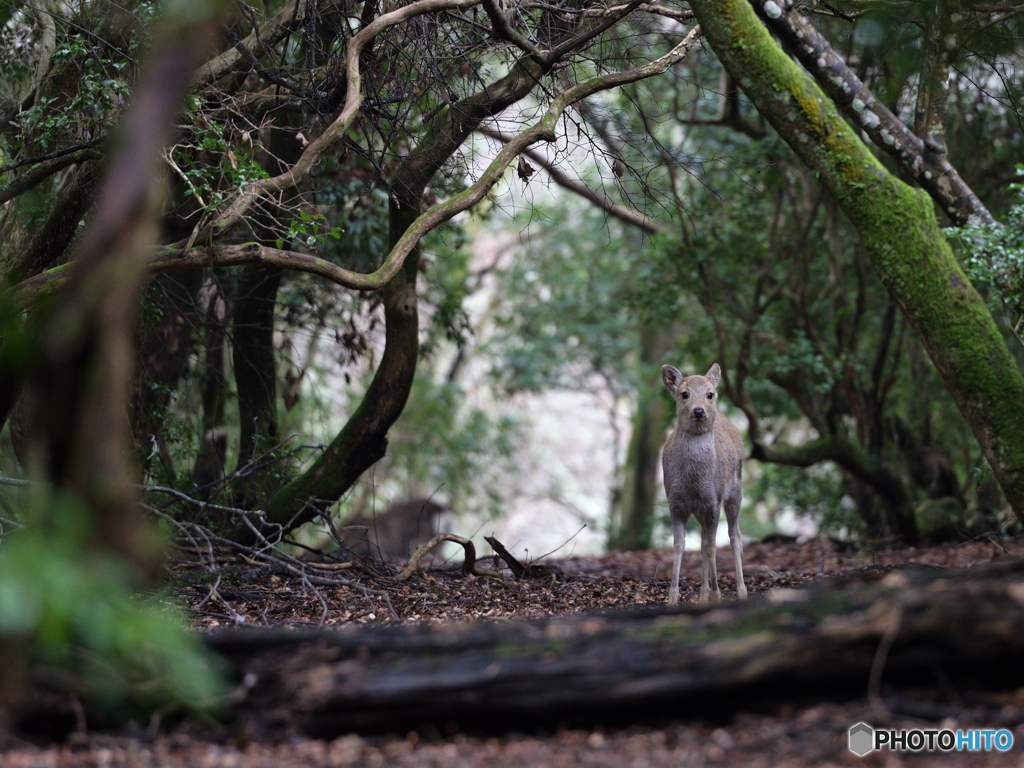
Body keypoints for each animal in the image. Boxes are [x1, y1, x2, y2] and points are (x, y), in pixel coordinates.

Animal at [663, 362, 745, 606]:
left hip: (736, 492)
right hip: (700, 512)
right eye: (684, 394)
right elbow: (679, 545)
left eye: (710, 394)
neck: (693, 484)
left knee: (735, 536)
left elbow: (712, 546)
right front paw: (672, 598)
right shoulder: (675, 503)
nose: (698, 411)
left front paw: (717, 595)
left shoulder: (713, 502)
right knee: (701, 541)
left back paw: (741, 590)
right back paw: (703, 595)